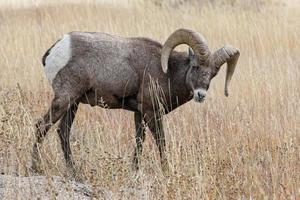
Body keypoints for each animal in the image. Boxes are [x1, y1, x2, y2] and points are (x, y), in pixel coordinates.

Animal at [31, 28, 240, 175]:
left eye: (213, 74)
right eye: (195, 66)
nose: (200, 95)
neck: (168, 72)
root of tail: (56, 49)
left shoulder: (139, 113)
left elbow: (139, 140)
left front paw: (135, 170)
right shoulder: (151, 112)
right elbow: (160, 141)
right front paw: (166, 171)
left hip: (73, 104)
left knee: (63, 132)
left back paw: (74, 171)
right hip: (64, 99)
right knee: (41, 126)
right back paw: (34, 168)